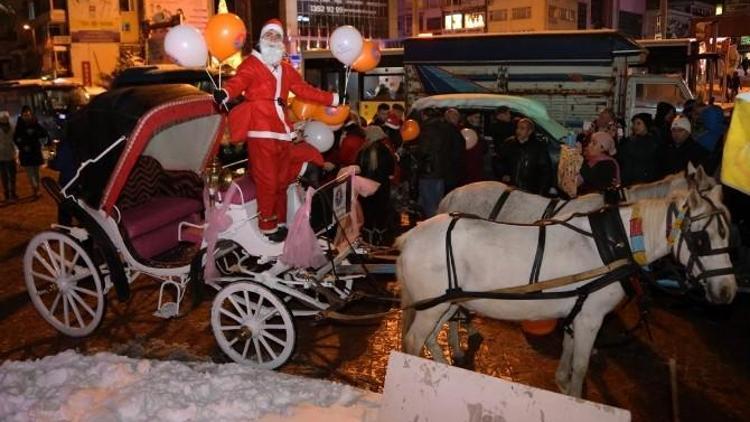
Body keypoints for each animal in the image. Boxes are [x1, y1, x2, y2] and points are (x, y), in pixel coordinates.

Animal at [402, 185, 736, 396]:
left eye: (729, 235)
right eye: (702, 239)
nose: (727, 291)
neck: (613, 245)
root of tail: (410, 236)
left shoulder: (578, 310)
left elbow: (567, 348)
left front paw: (561, 382)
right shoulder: (591, 317)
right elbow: (581, 364)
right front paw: (575, 395)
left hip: (442, 303)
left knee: (430, 337)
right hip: (432, 305)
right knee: (414, 341)